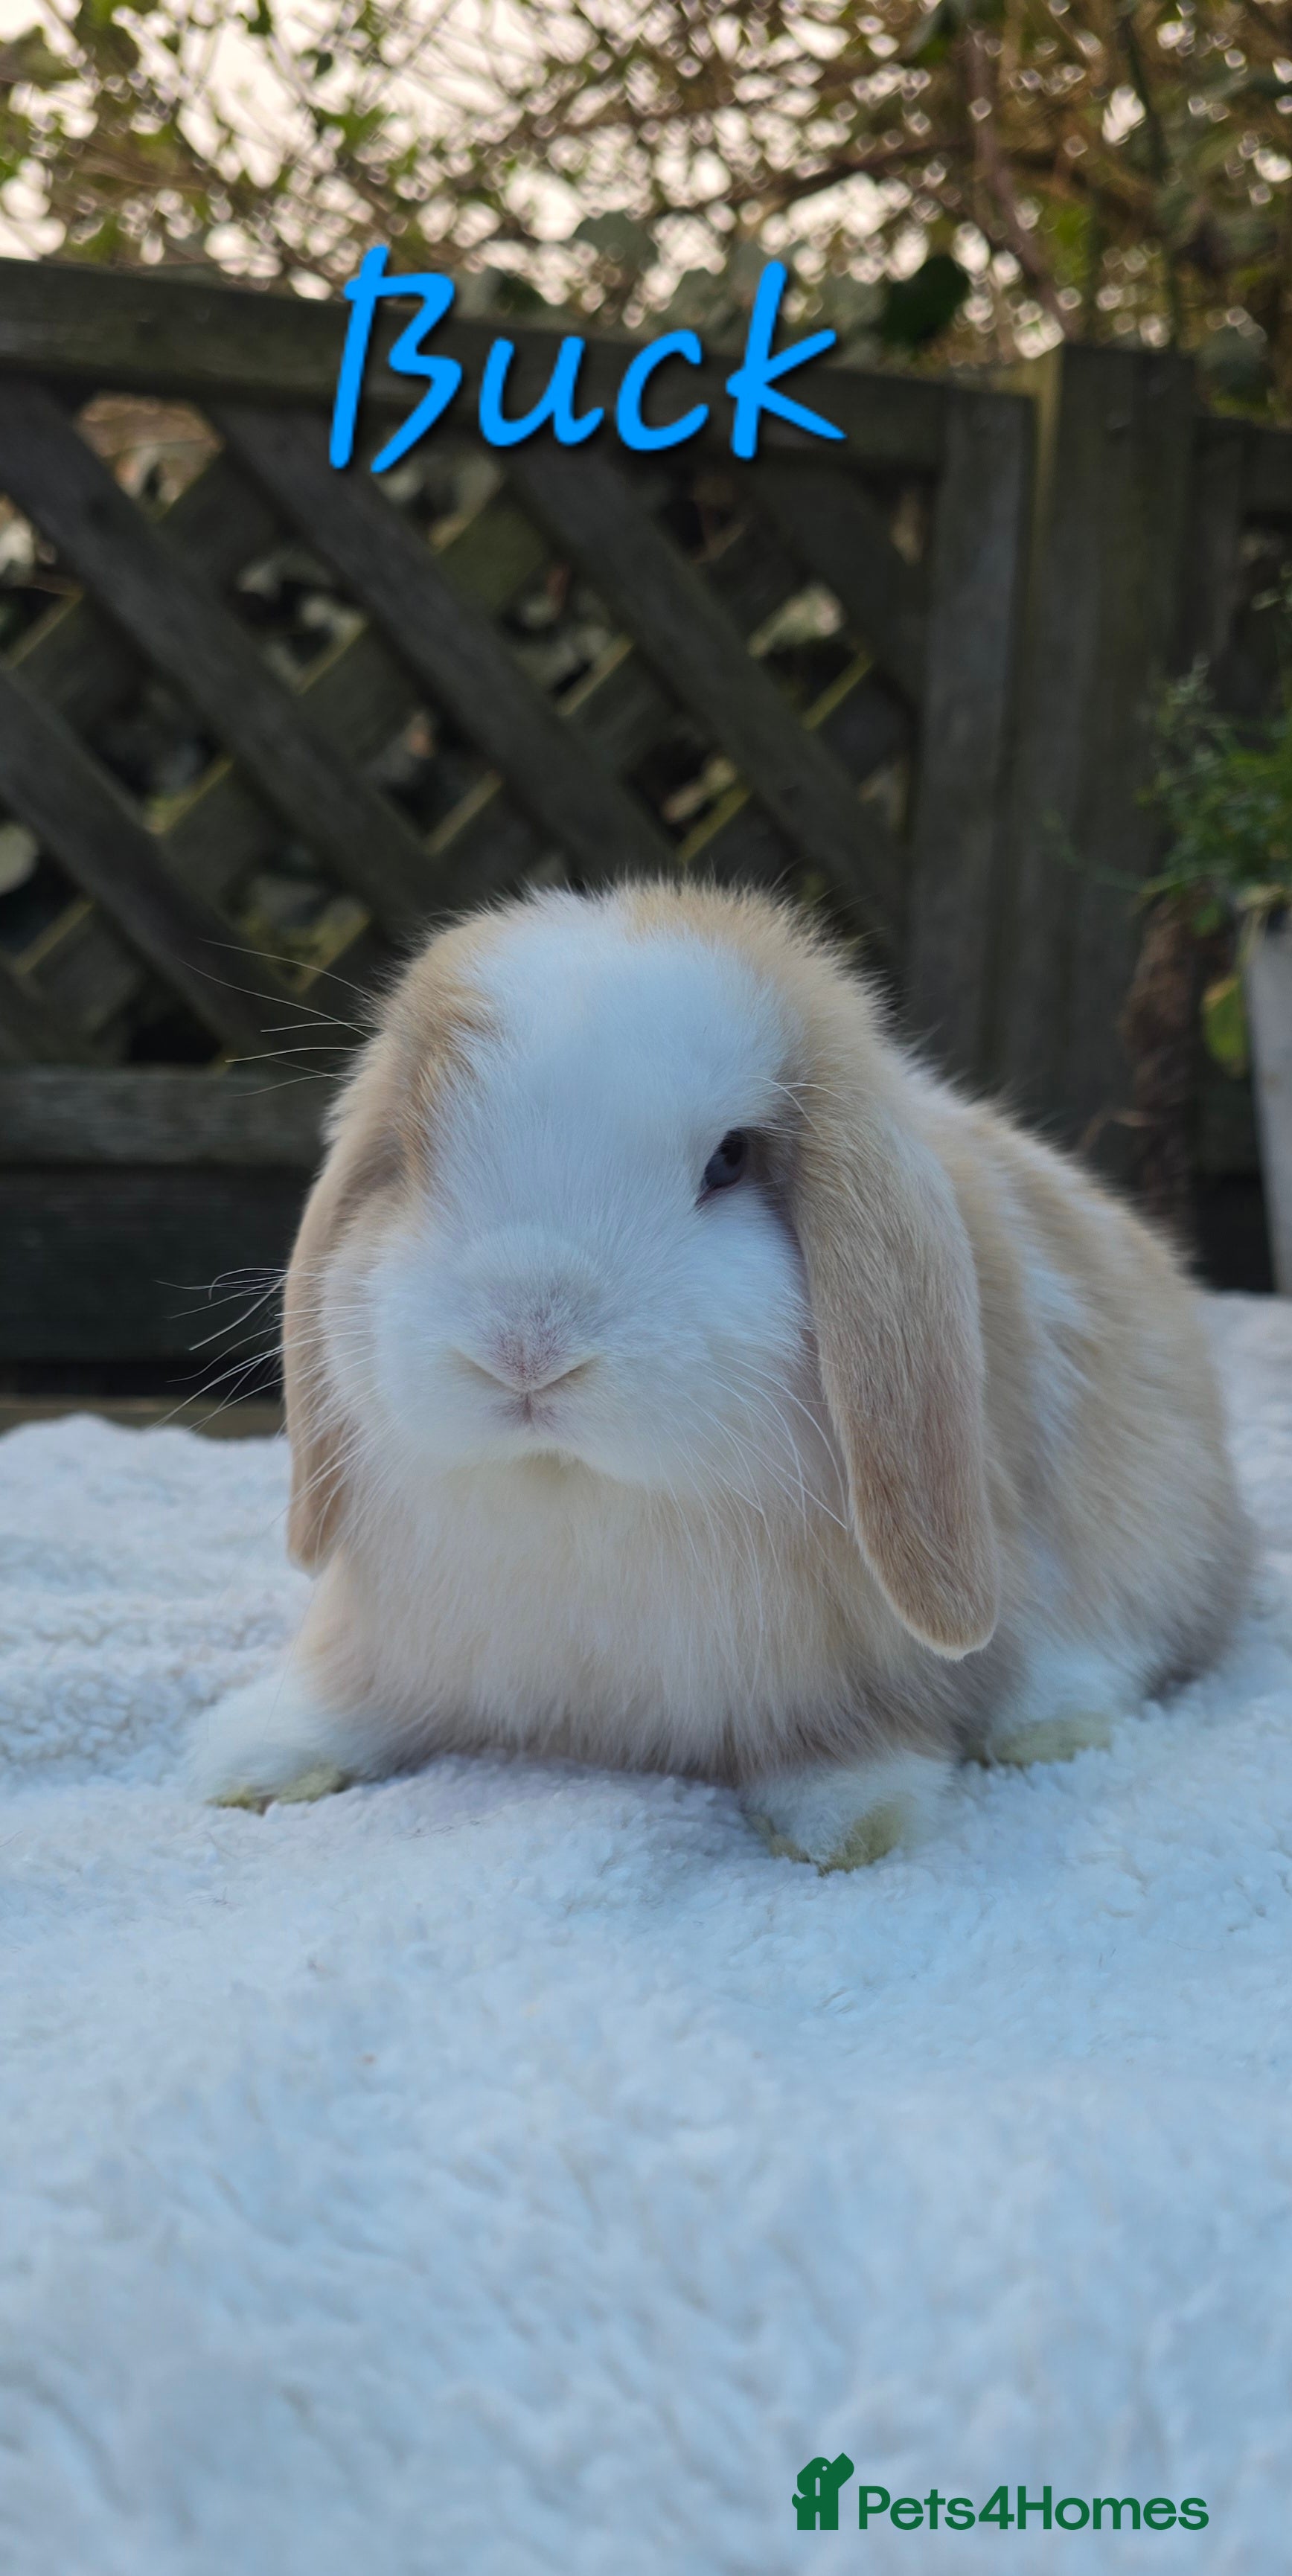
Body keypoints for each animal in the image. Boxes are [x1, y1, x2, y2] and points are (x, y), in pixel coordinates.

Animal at [192, 879, 1251, 1867]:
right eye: (411, 1153)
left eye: (730, 1160)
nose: (525, 1348)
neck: (577, 1497)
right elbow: (352, 1699)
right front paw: (250, 1757)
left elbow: (848, 1741)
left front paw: (840, 1818)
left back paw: (1047, 1722)